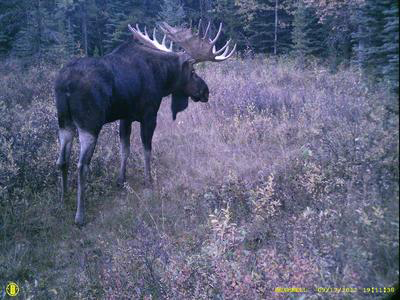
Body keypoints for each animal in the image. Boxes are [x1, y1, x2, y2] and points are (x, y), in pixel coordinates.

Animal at [56, 21, 238, 225]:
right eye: (193, 72)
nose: (206, 91)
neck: (163, 78)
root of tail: (65, 85)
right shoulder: (149, 114)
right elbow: (146, 149)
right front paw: (148, 179)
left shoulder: (125, 117)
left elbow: (125, 149)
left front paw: (121, 180)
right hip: (90, 124)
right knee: (81, 166)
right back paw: (80, 215)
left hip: (64, 123)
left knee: (62, 160)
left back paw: (63, 199)